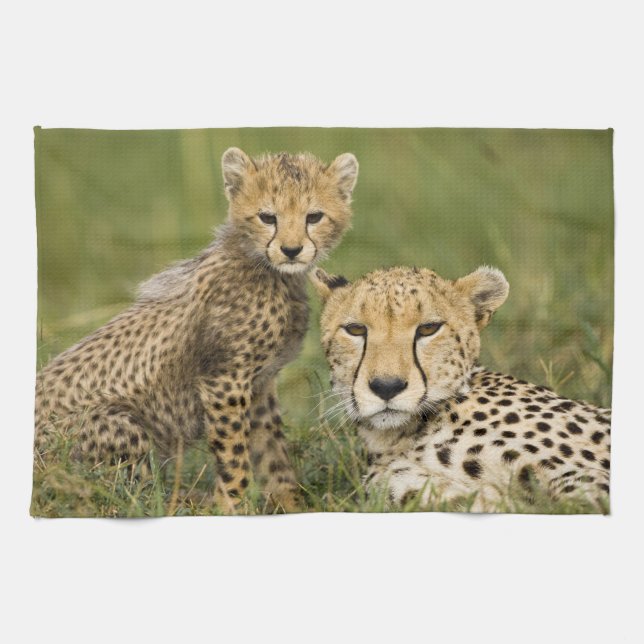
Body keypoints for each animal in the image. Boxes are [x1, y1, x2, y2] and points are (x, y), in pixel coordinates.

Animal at [35, 146, 359, 513]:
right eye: (267, 217)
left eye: (314, 217)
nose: (291, 250)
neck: (269, 272)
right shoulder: (224, 382)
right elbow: (234, 454)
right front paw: (231, 506)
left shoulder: (259, 386)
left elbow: (272, 452)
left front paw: (291, 503)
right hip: (117, 423)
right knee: (128, 494)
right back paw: (189, 501)